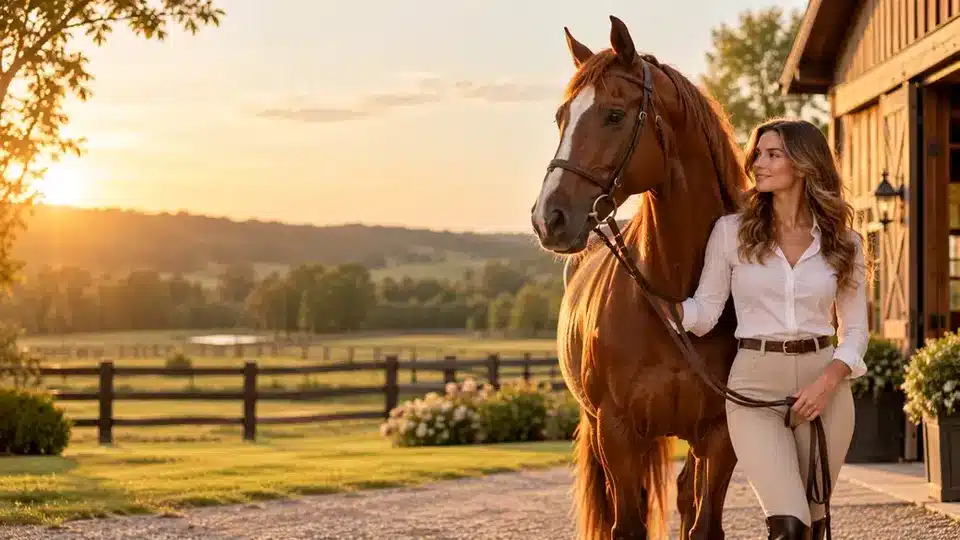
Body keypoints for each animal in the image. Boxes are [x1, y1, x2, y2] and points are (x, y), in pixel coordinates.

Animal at [530, 16, 750, 540]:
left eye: (613, 114)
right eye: (562, 117)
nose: (549, 217)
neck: (673, 292)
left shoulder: (720, 435)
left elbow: (703, 523)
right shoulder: (616, 432)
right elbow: (625, 525)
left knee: (686, 496)